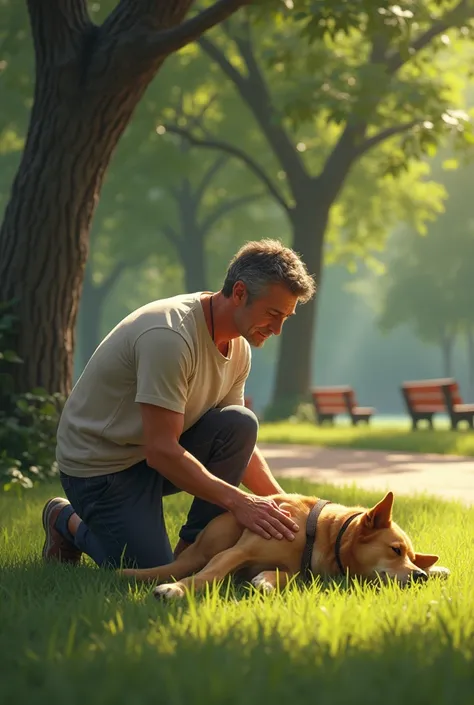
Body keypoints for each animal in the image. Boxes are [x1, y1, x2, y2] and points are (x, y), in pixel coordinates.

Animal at [120, 490, 450, 600]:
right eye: (395, 550)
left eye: (410, 555)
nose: (419, 576)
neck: (318, 534)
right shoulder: (237, 552)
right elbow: (207, 576)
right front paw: (175, 590)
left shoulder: (299, 572)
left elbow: (281, 576)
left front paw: (264, 582)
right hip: (218, 540)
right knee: (192, 567)